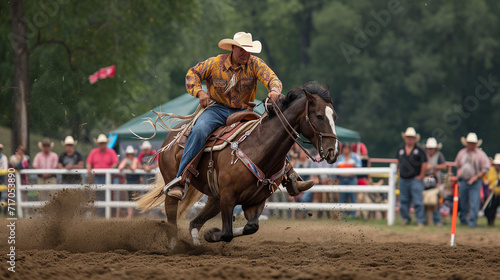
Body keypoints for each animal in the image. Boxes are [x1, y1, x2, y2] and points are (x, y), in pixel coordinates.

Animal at [137, 81, 340, 249]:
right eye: (319, 116)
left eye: (335, 117)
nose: (334, 151)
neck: (259, 146)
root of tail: (174, 134)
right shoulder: (228, 196)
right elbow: (226, 233)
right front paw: (212, 234)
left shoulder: (255, 201)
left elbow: (252, 227)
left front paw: (211, 234)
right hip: (175, 183)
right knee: (172, 212)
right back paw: (173, 245)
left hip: (215, 198)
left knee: (194, 222)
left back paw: (195, 243)